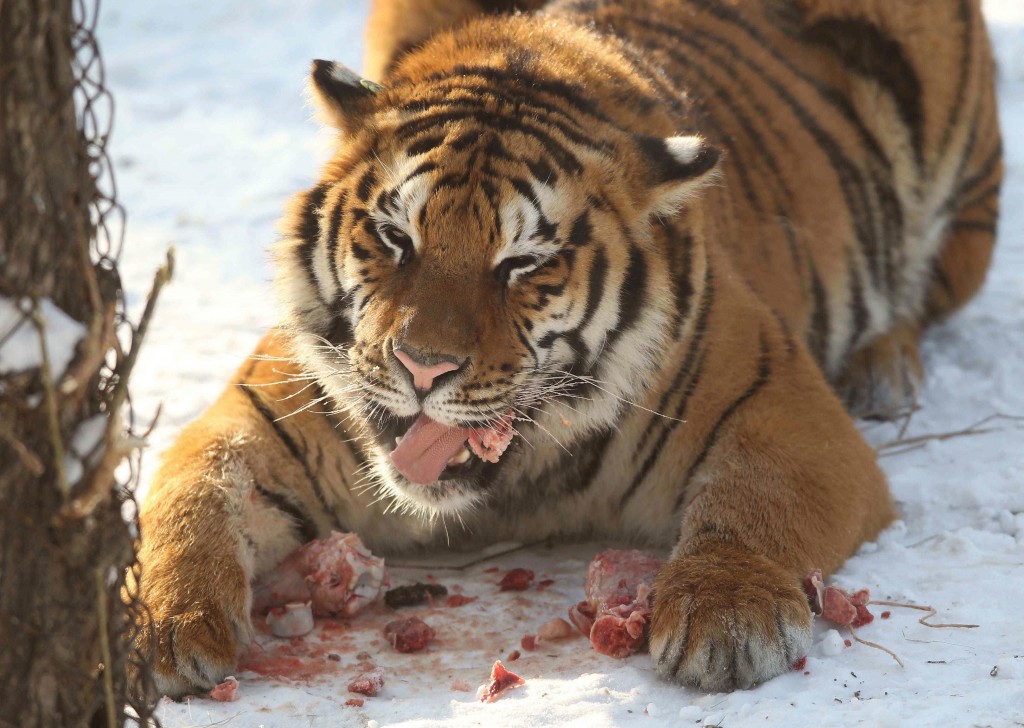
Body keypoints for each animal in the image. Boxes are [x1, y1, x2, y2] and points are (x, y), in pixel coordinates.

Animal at [134, 0, 999, 700]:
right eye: (394, 237)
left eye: (522, 263)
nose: (421, 367)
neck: (516, 483)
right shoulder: (267, 411)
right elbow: (192, 496)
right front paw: (158, 625)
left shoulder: (780, 407)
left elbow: (755, 504)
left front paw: (728, 617)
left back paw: (885, 366)